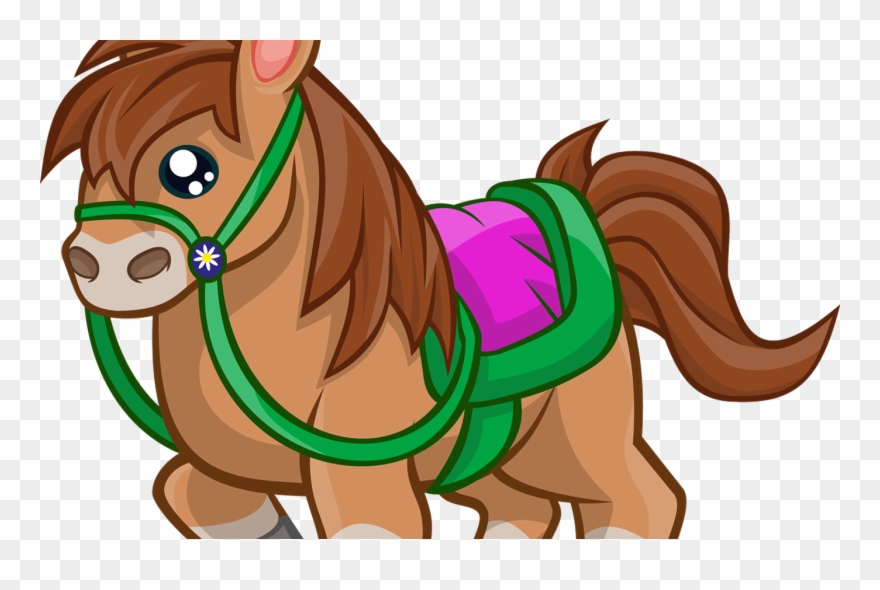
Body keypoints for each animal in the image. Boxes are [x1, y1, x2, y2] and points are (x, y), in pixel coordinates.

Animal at [42, 40, 838, 540]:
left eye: (189, 170)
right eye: (86, 165)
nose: (99, 263)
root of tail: (580, 216)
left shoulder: (368, 489)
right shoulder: (219, 472)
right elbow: (189, 493)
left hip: (577, 440)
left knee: (640, 502)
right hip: (491, 461)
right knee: (529, 514)